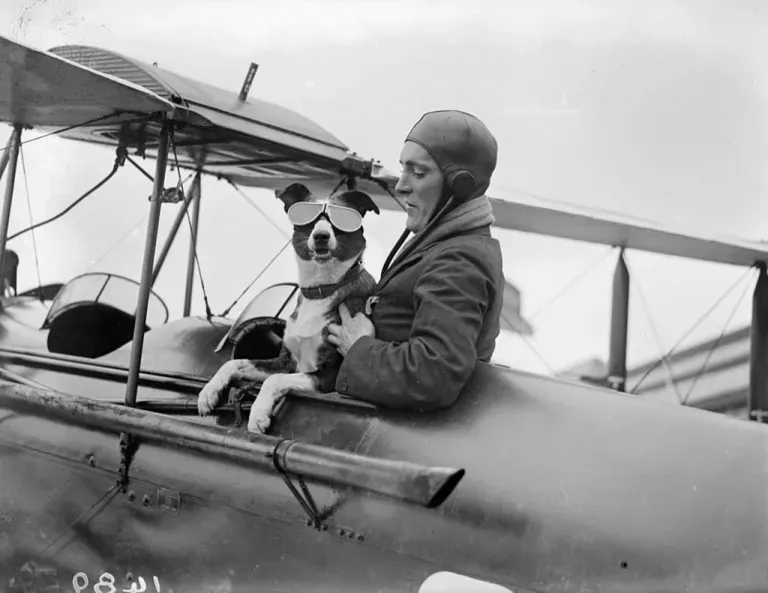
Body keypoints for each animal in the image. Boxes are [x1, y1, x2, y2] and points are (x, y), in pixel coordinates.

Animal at [196, 180, 380, 430]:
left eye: (341, 218)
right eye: (307, 217)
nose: (321, 236)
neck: (321, 290)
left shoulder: (329, 376)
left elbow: (275, 379)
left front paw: (258, 414)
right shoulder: (285, 361)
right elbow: (234, 363)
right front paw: (209, 392)